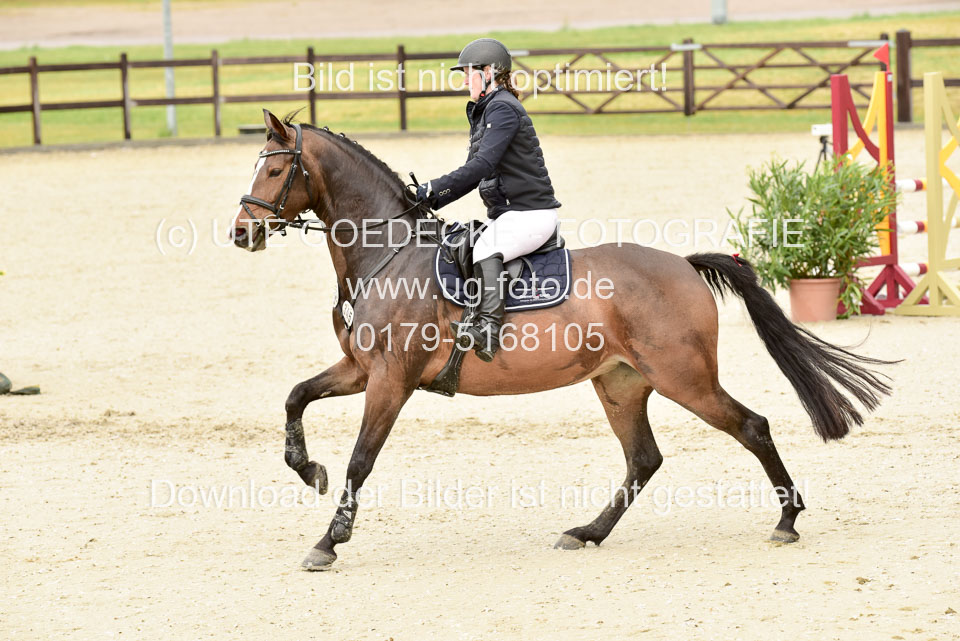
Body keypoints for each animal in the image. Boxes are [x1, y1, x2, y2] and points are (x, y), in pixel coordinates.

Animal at [230, 109, 893, 570]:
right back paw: (586, 533)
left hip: (684, 378)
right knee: (643, 458)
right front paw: (306, 468)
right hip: (621, 383)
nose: (241, 232)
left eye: (274, 169)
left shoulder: (391, 381)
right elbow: (295, 397)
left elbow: (361, 461)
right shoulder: (360, 370)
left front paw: (328, 540)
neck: (387, 253)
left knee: (751, 427)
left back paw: (787, 520)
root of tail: (681, 264)